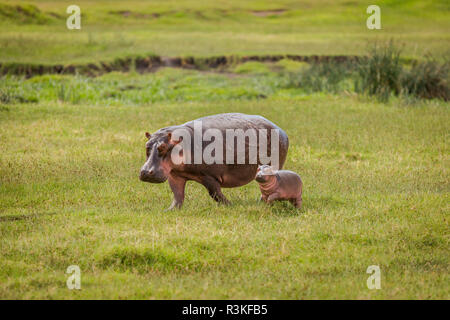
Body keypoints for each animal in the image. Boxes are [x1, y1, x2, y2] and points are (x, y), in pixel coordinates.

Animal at [139, 112, 290, 210]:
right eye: (146, 146)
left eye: (163, 147)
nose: (145, 172)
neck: (179, 143)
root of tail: (281, 130)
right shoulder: (175, 175)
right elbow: (177, 194)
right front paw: (170, 210)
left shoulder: (209, 176)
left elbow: (215, 193)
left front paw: (231, 206)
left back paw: (261, 203)